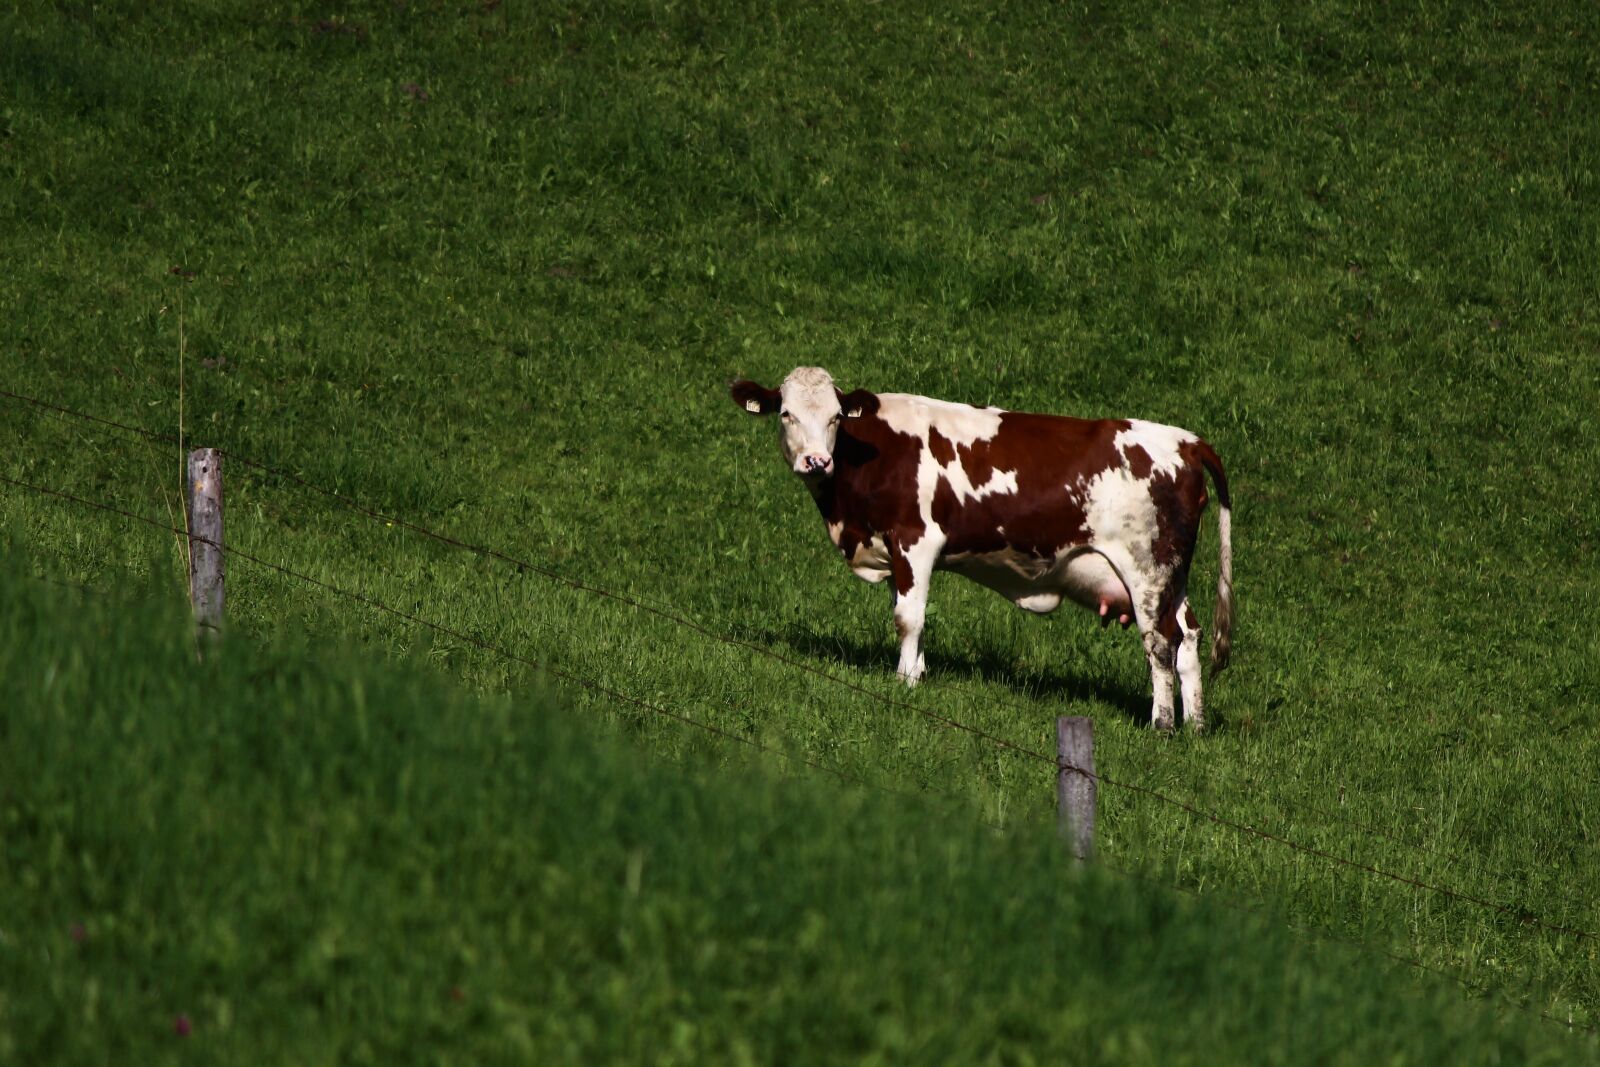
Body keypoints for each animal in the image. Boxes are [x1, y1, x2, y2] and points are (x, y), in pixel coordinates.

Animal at [729, 366, 1233, 731]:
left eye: (836, 416)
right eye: (786, 414)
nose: (816, 461)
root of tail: (1186, 441)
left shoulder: (916, 538)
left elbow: (908, 618)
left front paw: (903, 685)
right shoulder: (896, 553)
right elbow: (909, 611)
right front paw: (918, 673)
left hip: (1147, 569)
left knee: (1160, 643)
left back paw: (1162, 725)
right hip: (1172, 575)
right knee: (1188, 635)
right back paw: (1195, 725)